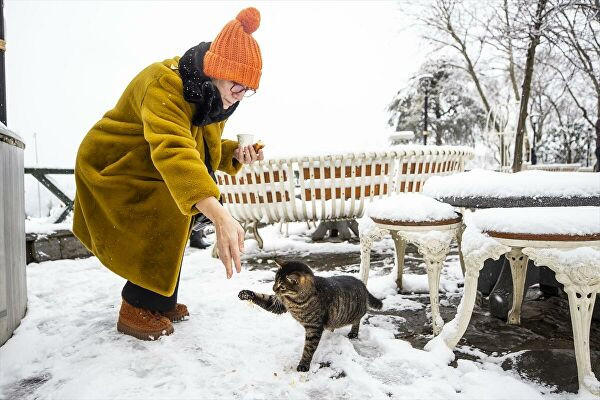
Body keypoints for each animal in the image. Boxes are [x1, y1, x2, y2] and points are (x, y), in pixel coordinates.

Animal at [238, 260, 382, 370]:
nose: (273, 288)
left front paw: (303, 365)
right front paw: (246, 293)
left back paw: (353, 333)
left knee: (358, 319)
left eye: (282, 286)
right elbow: (263, 298)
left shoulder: (314, 328)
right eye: (274, 281)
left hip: (354, 313)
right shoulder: (278, 303)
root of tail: (361, 283)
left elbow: (308, 348)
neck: (294, 301)